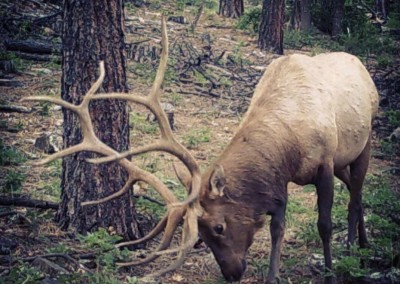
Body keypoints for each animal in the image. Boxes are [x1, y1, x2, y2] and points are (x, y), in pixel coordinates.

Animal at [21, 17, 378, 282]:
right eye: (200, 238)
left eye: (219, 226)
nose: (232, 274)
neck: (289, 142)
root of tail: (362, 65)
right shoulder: (280, 179)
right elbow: (278, 227)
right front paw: (273, 275)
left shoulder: (324, 162)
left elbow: (323, 224)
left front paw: (331, 272)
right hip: (344, 161)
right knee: (355, 191)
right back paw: (362, 241)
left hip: (363, 144)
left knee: (356, 194)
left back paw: (356, 247)